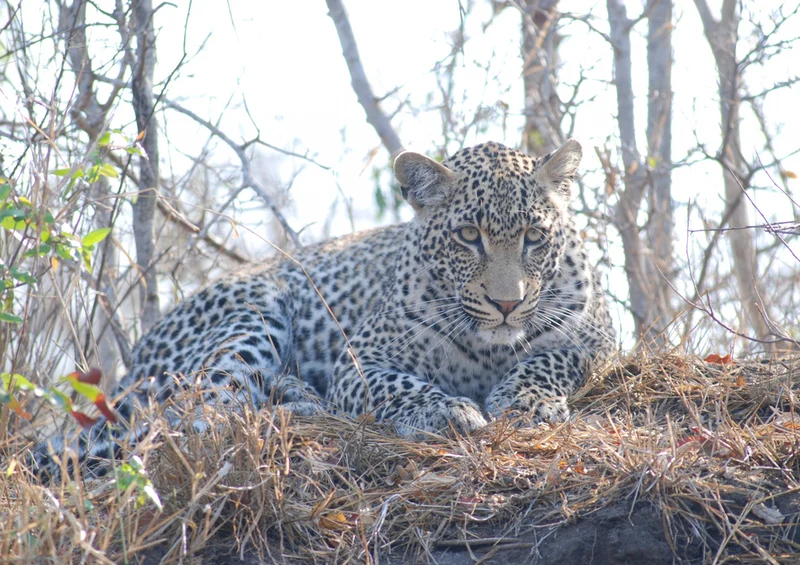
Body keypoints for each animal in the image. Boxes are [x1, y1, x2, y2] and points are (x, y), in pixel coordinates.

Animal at [32, 139, 615, 476]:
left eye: (534, 237)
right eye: (469, 236)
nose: (506, 303)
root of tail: (136, 358)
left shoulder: (597, 336)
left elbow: (551, 357)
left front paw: (526, 400)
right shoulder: (359, 364)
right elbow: (396, 385)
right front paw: (443, 409)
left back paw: (295, 396)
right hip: (255, 310)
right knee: (199, 412)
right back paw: (297, 406)